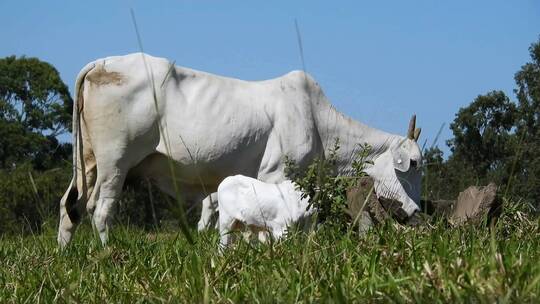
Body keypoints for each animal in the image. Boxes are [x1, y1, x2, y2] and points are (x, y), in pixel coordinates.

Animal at [58, 52, 422, 247]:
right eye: (415, 163)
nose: (416, 210)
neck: (318, 122)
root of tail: (102, 62)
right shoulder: (276, 174)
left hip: (87, 163)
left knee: (69, 206)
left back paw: (65, 255)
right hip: (115, 162)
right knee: (99, 210)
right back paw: (107, 255)